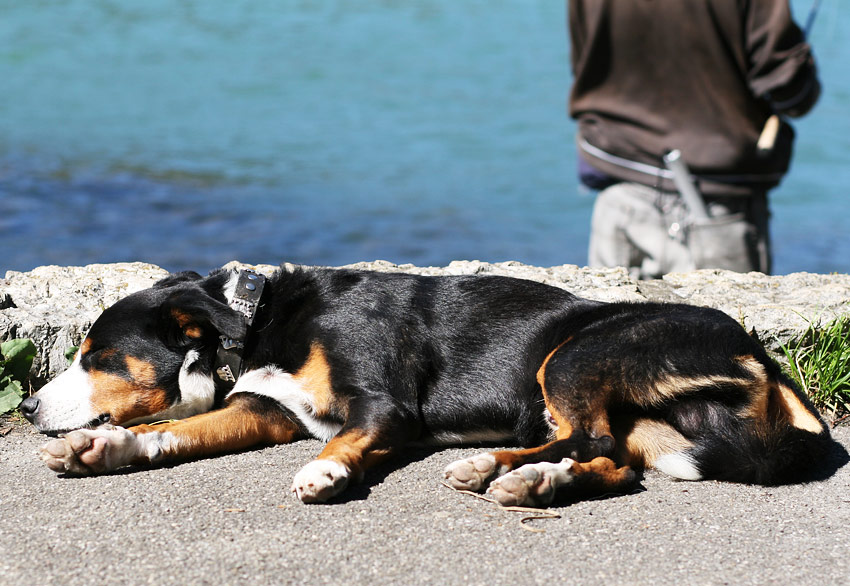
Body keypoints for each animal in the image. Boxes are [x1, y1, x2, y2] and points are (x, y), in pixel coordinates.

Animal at [19, 266, 828, 504]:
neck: (262, 320)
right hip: (625, 414)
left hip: (573, 354)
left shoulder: (383, 407)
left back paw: (493, 467)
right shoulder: (267, 410)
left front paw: (326, 471)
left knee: (584, 436)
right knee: (607, 459)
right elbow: (176, 430)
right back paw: (535, 482)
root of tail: (757, 350)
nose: (26, 405)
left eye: (97, 355)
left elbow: (346, 439)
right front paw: (104, 449)